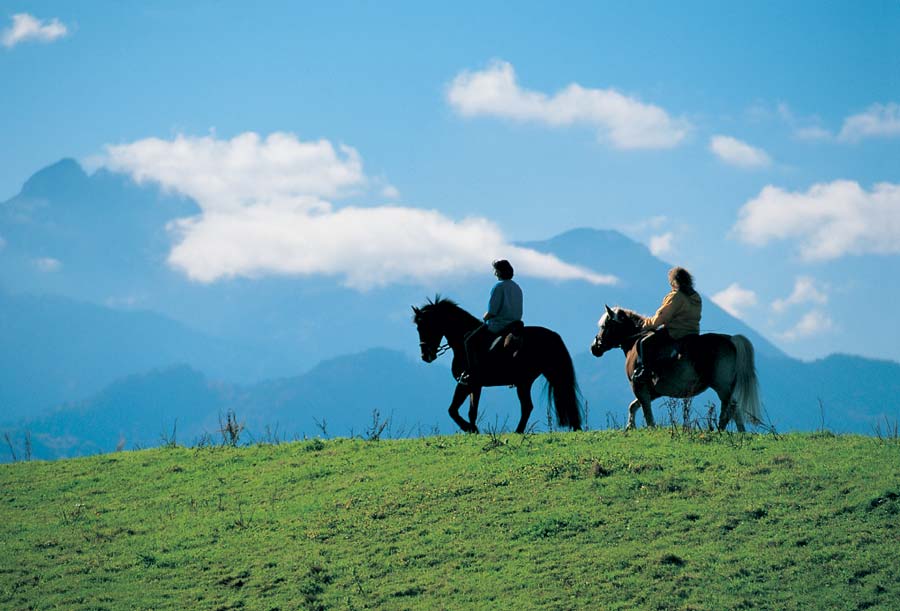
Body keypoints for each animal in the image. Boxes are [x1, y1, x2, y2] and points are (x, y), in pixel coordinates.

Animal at [414, 298, 584, 436]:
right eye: (418, 328)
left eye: (428, 325)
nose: (425, 356)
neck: (462, 342)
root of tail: (553, 335)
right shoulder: (475, 386)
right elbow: (472, 411)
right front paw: (473, 429)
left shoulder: (466, 383)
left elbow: (453, 410)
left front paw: (469, 428)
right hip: (532, 380)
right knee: (535, 405)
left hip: (530, 380)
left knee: (529, 406)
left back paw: (519, 431)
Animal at [592, 304, 760, 430]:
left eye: (605, 325)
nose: (594, 347)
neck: (635, 342)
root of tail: (731, 339)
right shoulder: (653, 392)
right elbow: (633, 406)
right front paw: (630, 426)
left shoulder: (639, 386)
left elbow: (646, 412)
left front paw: (648, 428)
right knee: (733, 409)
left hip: (722, 387)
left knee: (730, 408)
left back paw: (721, 429)